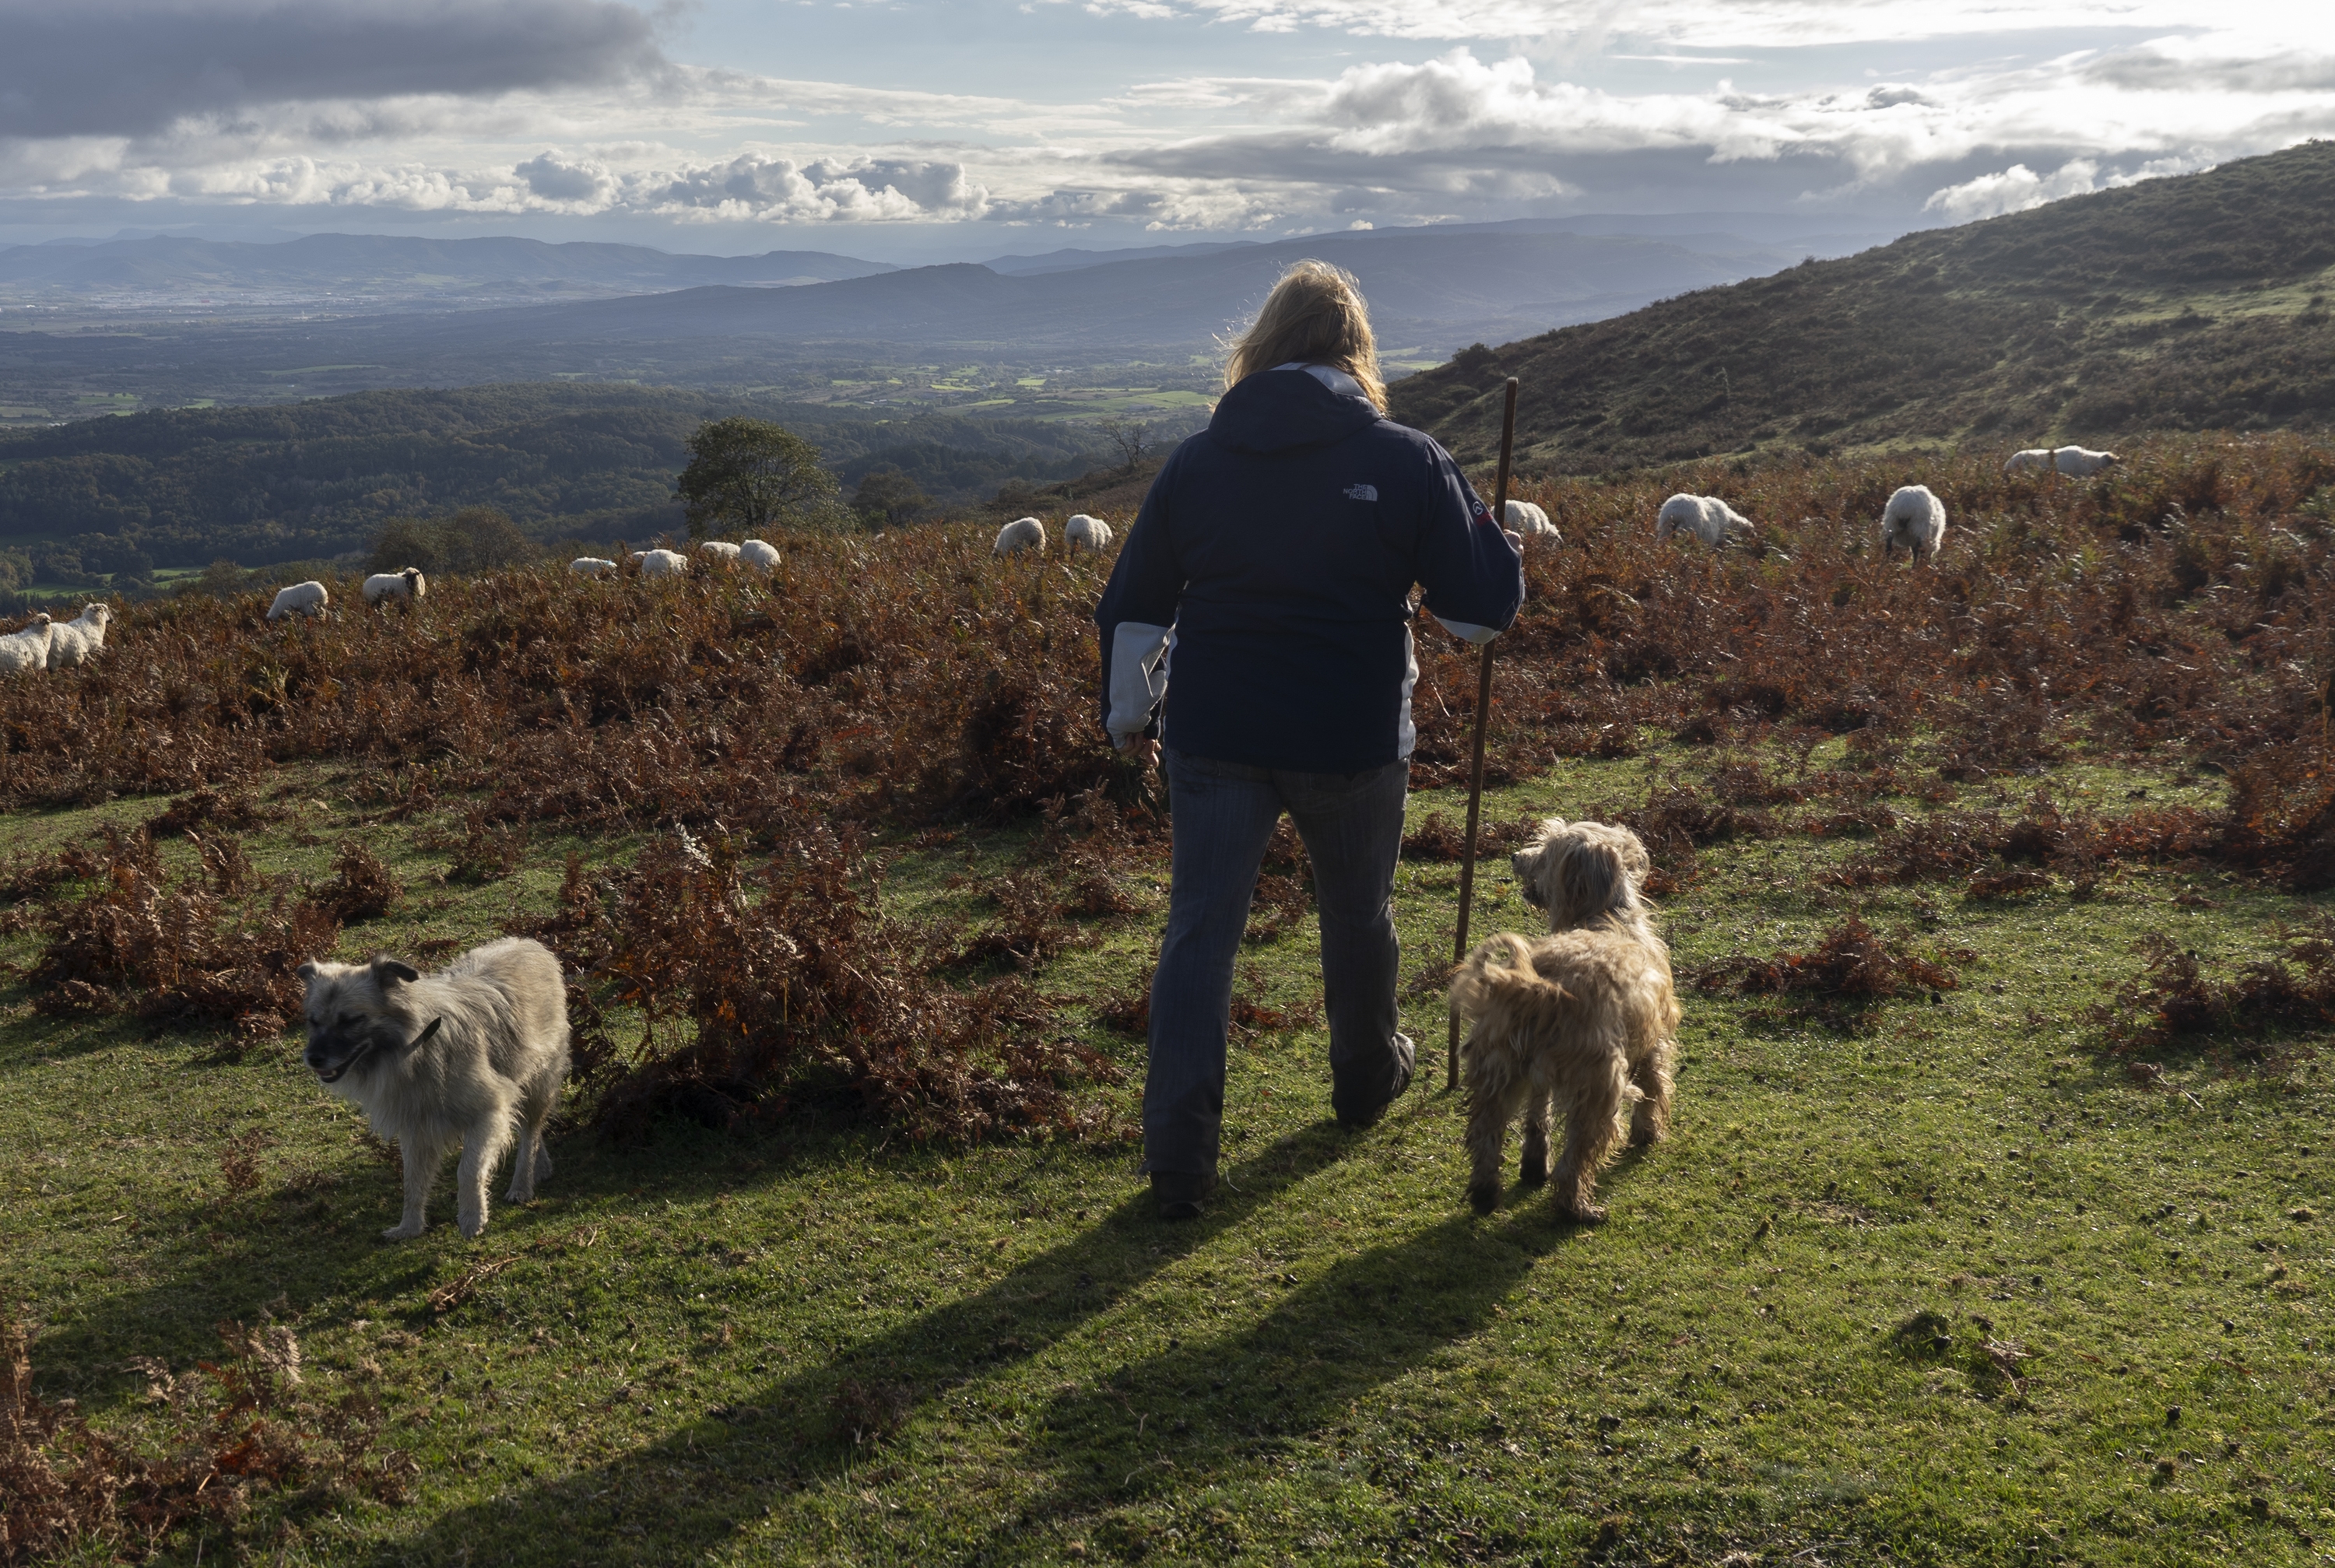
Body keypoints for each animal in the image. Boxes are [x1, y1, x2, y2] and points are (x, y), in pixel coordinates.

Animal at [297, 938, 570, 1241]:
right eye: (313, 1021)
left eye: (350, 1020)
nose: (313, 1058)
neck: (416, 1048)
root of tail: (529, 944)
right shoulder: (415, 1128)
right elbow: (413, 1181)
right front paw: (409, 1227)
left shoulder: (489, 1111)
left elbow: (468, 1170)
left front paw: (472, 1217)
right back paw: (540, 1167)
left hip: (539, 1081)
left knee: (531, 1130)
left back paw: (522, 1183)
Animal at [1438, 821, 1681, 1222]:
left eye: (1547, 850)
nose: (1516, 856)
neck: (1603, 914)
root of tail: (1539, 987)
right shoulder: (1652, 1039)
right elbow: (1654, 1086)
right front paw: (1648, 1133)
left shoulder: (1541, 1076)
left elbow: (1538, 1117)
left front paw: (1534, 1165)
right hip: (1600, 1085)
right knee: (1578, 1155)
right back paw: (1577, 1207)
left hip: (1498, 1066)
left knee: (1486, 1131)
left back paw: (1486, 1192)